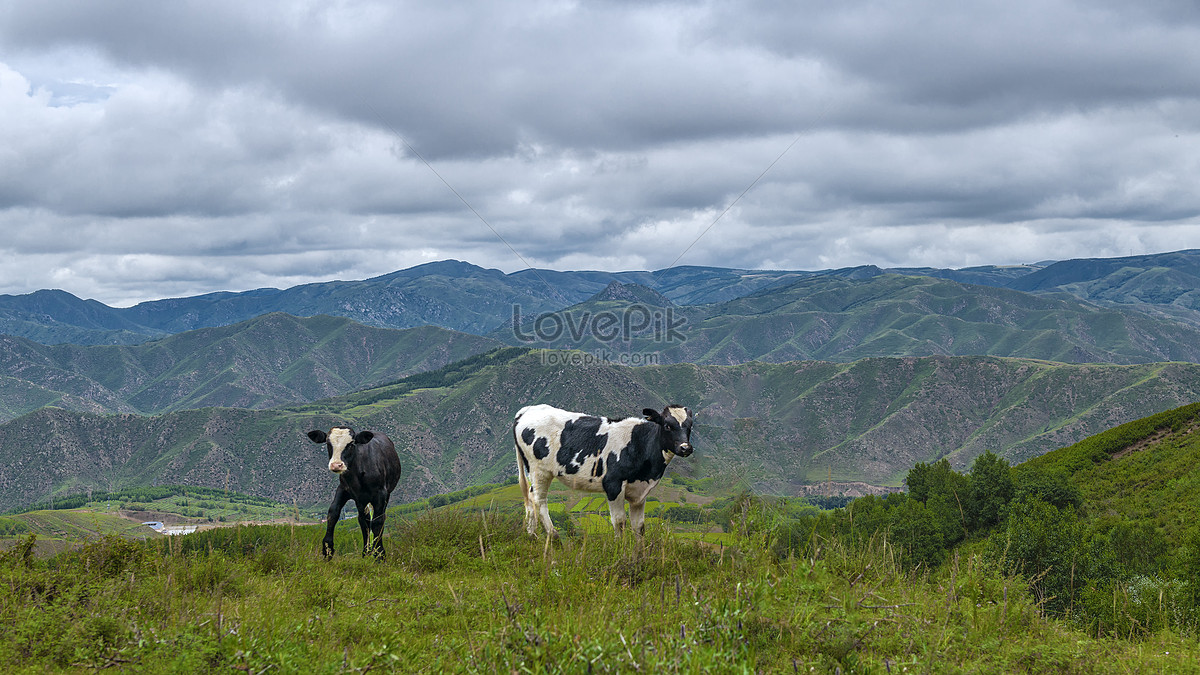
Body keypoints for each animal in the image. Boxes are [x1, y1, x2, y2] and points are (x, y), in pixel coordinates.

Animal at [513, 398, 700, 535]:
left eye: (689, 427)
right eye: (667, 426)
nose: (685, 448)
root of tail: (529, 409)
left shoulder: (640, 492)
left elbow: (639, 526)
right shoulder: (613, 484)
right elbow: (619, 522)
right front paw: (621, 552)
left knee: (530, 499)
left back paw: (532, 536)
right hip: (539, 469)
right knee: (539, 500)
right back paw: (554, 538)